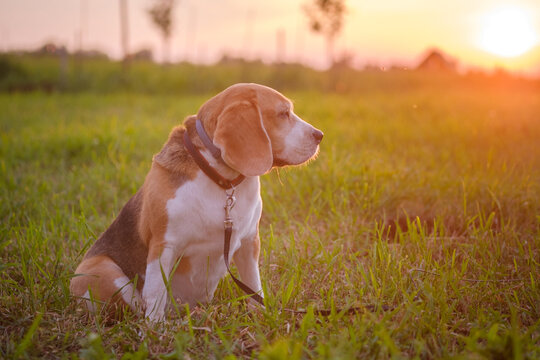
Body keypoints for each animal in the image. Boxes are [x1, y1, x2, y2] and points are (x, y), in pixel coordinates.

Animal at [71, 82, 324, 320]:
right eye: (283, 113)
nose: (320, 135)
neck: (223, 181)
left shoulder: (249, 241)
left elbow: (254, 286)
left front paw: (261, 317)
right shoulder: (163, 245)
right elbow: (155, 293)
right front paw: (154, 330)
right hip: (102, 271)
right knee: (136, 303)